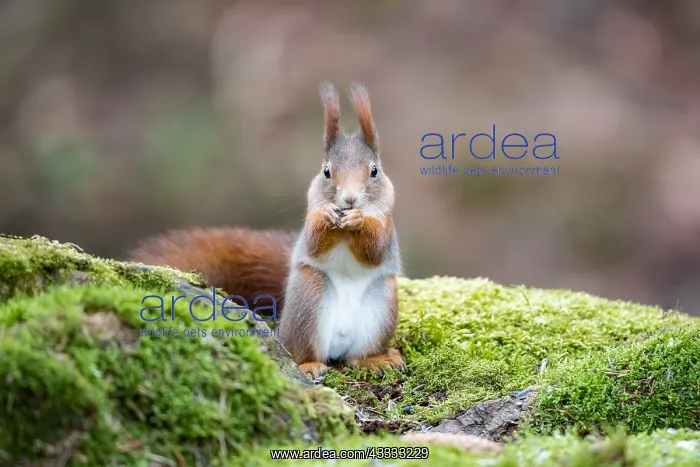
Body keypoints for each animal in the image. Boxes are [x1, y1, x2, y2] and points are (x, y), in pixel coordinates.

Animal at [128, 81, 405, 378]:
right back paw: (310, 364)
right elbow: (314, 242)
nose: (350, 200)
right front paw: (328, 216)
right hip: (309, 296)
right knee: (303, 352)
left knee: (355, 357)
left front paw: (358, 220)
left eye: (374, 171)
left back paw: (377, 360)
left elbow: (375, 249)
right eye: (327, 172)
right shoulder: (311, 218)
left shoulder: (387, 224)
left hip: (381, 303)